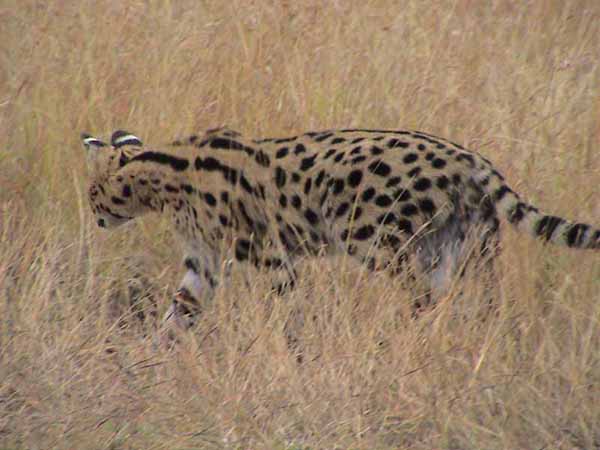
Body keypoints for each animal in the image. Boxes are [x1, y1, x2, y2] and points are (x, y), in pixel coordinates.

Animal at [82, 127, 599, 333]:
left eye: (91, 195)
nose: (96, 218)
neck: (163, 175)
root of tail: (470, 157)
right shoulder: (203, 264)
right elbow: (178, 313)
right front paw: (153, 358)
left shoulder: (270, 256)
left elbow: (287, 312)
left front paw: (292, 355)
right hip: (465, 250)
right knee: (477, 303)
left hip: (380, 242)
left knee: (423, 298)